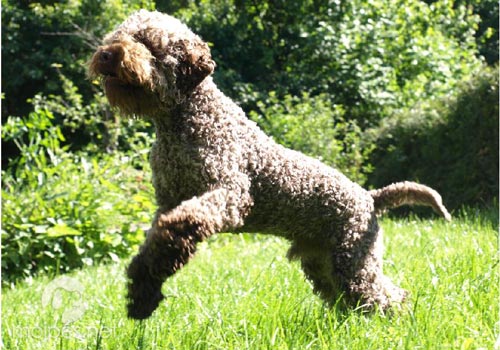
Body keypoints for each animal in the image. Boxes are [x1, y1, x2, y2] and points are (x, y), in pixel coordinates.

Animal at [88, 9, 452, 320]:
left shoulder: (228, 195)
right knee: (351, 299)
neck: (185, 123)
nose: (107, 54)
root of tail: (370, 197)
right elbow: (152, 248)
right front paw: (141, 295)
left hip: (353, 260)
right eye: (120, 34)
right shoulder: (168, 200)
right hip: (325, 263)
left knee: (387, 296)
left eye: (148, 42)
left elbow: (178, 227)